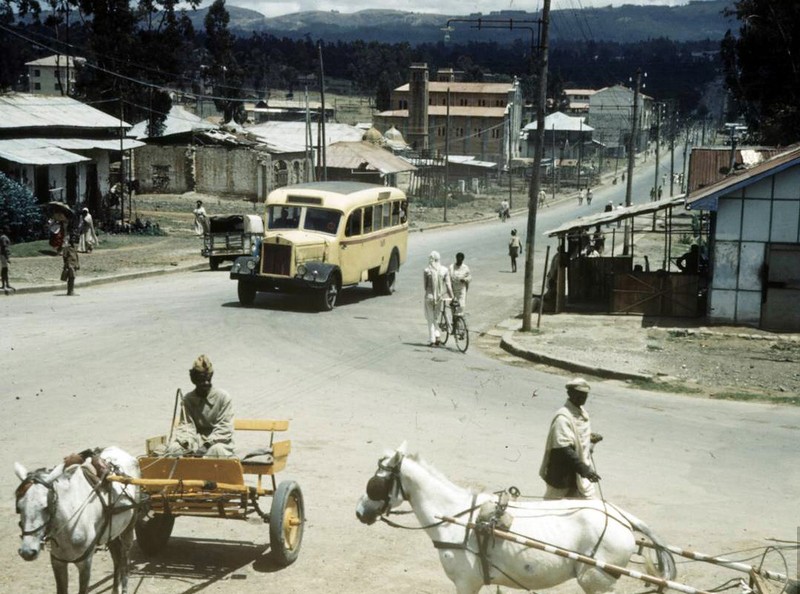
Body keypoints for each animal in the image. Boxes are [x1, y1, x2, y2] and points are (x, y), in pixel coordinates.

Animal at [14, 444, 142, 592]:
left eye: (46, 507)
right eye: (19, 507)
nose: (27, 552)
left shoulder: (84, 564)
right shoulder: (58, 562)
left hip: (129, 527)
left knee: (125, 557)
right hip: (112, 532)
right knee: (117, 558)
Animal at [356, 444, 676, 592]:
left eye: (375, 484)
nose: (360, 511)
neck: (456, 519)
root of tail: (621, 516)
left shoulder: (465, 582)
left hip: (597, 580)